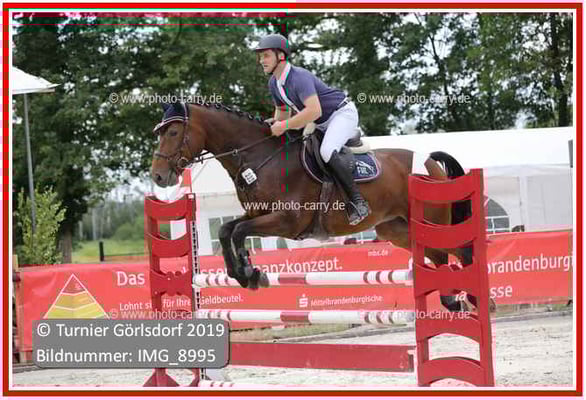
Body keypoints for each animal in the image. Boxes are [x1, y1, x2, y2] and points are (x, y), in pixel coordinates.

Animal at [150, 101, 474, 312]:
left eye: (174, 133)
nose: (158, 176)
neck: (260, 158)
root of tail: (429, 161)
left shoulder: (287, 220)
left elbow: (240, 231)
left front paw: (251, 274)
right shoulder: (257, 213)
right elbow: (227, 229)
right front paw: (240, 273)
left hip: (431, 223)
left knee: (458, 251)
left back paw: (473, 298)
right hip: (397, 230)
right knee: (440, 256)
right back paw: (455, 302)